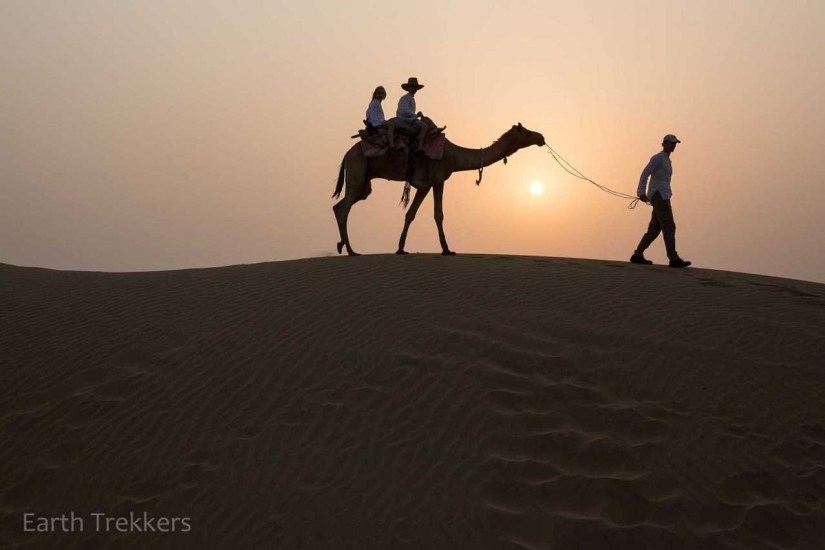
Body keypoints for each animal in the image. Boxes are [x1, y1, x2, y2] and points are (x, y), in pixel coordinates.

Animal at [332, 123, 544, 256]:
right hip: (357, 170)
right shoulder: (438, 178)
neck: (454, 155)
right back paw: (351, 251)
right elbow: (438, 214)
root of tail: (346, 154)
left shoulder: (425, 185)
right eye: (526, 131)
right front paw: (447, 250)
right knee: (344, 211)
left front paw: (400, 249)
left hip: (363, 183)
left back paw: (341, 245)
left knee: (339, 205)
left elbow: (410, 214)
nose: (541, 137)